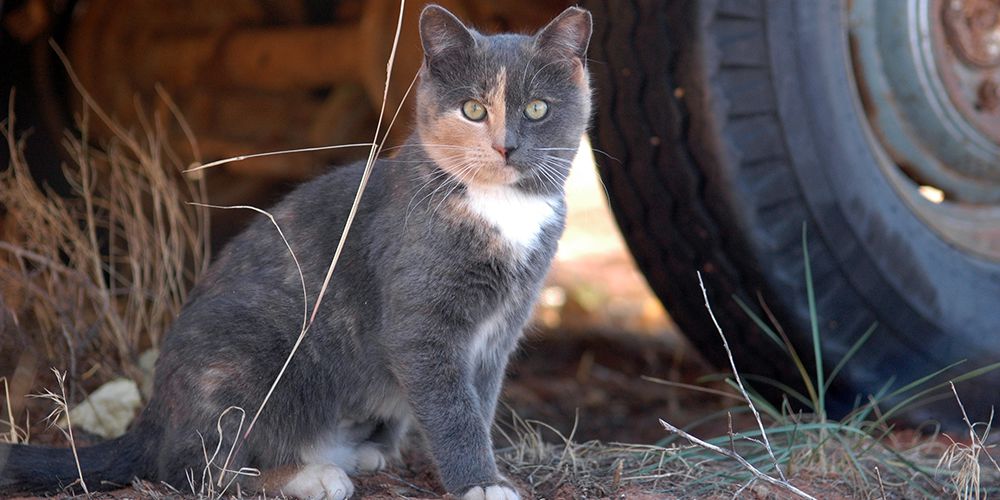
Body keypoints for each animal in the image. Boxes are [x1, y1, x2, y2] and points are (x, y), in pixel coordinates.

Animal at [0, 4, 592, 500]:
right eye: (472, 109)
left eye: (537, 108)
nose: (505, 146)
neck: (500, 209)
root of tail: (155, 413)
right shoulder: (420, 325)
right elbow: (453, 409)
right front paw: (481, 483)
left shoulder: (498, 333)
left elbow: (480, 400)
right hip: (246, 356)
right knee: (194, 468)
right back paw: (307, 476)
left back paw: (357, 452)